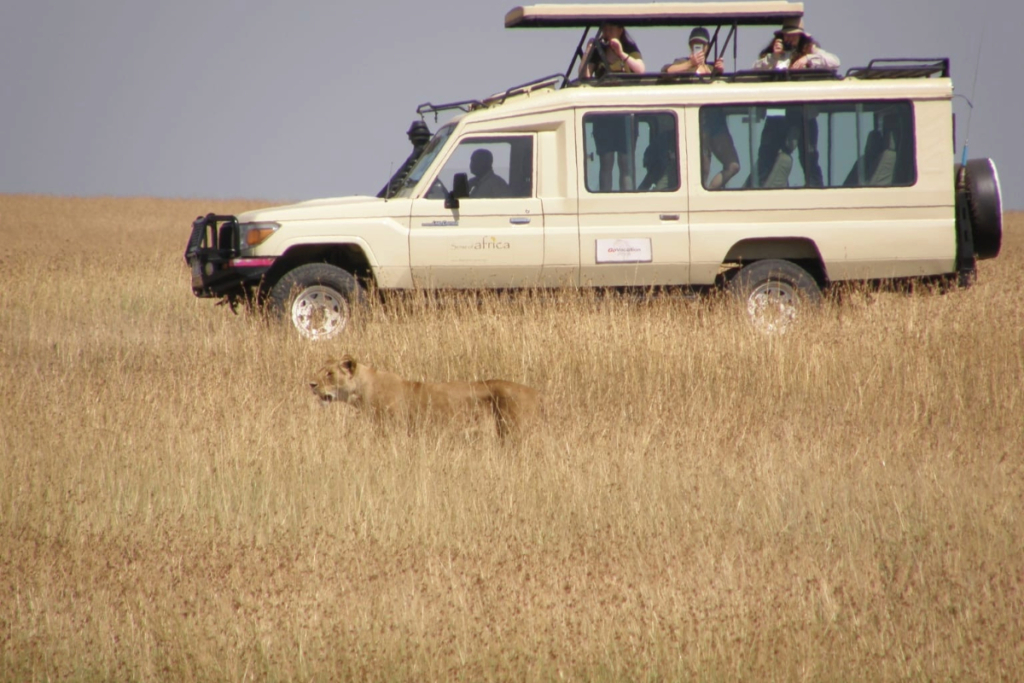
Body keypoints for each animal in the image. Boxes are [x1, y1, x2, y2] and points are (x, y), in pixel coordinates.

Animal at [309, 355, 541, 438]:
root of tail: (535, 391)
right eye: (320, 371)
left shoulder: (394, 431)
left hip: (513, 433)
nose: (311, 384)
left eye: (330, 374)